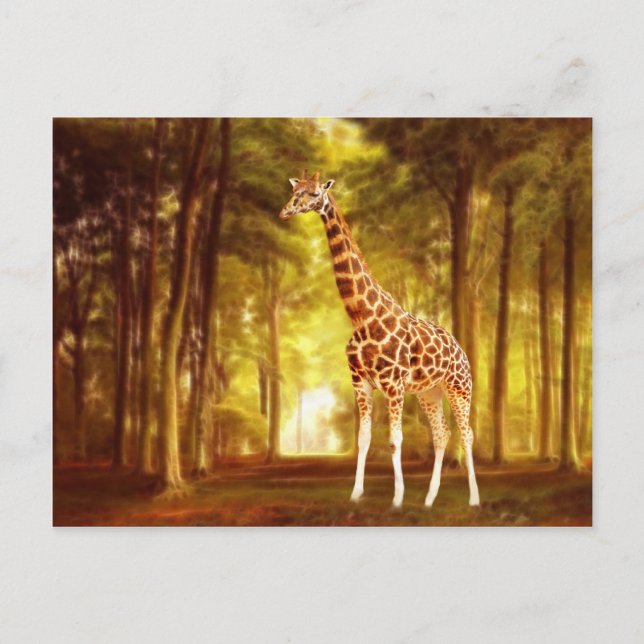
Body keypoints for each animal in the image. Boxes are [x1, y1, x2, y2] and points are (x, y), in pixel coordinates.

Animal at [278, 170, 480, 508]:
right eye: (295, 191)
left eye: (315, 193)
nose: (285, 211)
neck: (362, 317)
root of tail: (461, 349)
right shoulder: (360, 381)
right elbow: (364, 439)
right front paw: (356, 493)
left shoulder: (393, 384)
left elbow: (395, 440)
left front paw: (397, 498)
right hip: (429, 392)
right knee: (442, 433)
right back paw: (429, 499)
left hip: (459, 387)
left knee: (467, 433)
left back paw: (474, 499)